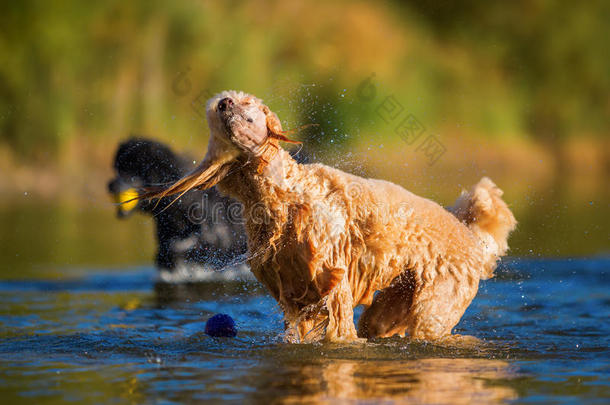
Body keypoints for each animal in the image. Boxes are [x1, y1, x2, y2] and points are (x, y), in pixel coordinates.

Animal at [146, 90, 512, 340]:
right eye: (219, 109)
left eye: (246, 103)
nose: (223, 103)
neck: (280, 193)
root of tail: (472, 239)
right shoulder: (291, 287)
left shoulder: (332, 277)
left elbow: (338, 329)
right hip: (391, 307)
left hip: (433, 309)